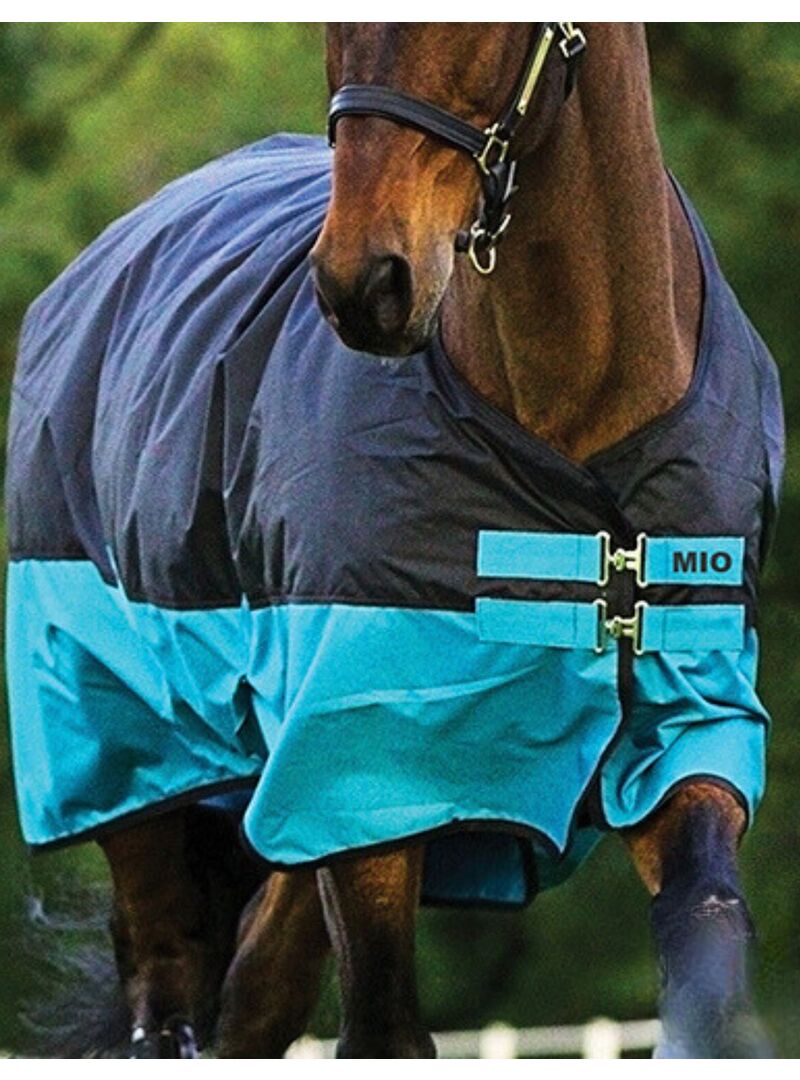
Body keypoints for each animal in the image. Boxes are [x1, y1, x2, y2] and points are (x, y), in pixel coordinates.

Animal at [6, 23, 783, 1058]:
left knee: (259, 989)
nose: (365, 283)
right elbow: (383, 1025)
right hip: (134, 753)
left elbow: (706, 952)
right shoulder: (366, 766)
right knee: (170, 985)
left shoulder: (689, 725)